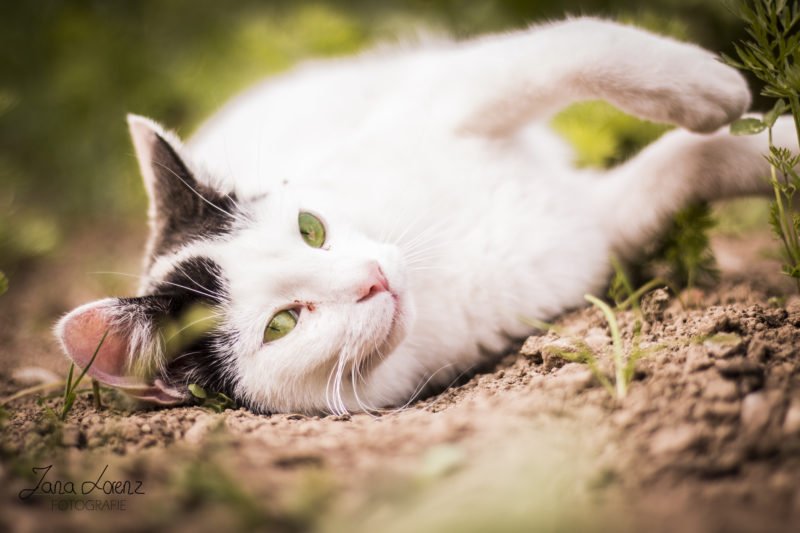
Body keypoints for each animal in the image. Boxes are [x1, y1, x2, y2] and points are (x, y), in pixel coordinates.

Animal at [56, 17, 792, 412]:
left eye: (311, 229)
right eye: (284, 323)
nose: (374, 278)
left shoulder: (451, 95)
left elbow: (577, 48)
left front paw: (717, 93)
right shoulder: (596, 230)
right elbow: (684, 163)